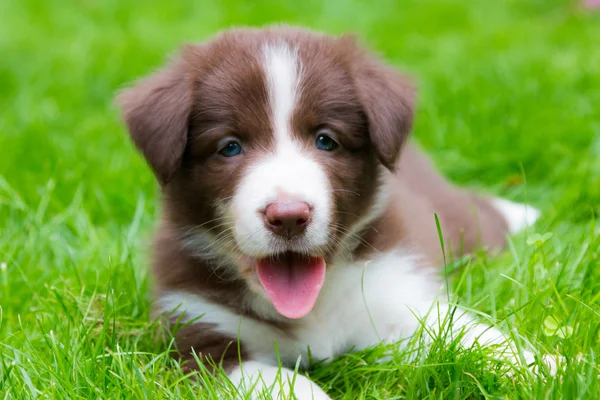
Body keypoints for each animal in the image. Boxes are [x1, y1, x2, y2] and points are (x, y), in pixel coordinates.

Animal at [119, 25, 556, 400]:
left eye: (325, 140)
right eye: (229, 147)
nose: (288, 216)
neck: (312, 309)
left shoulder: (396, 290)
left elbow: (469, 335)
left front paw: (542, 366)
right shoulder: (196, 333)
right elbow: (270, 378)